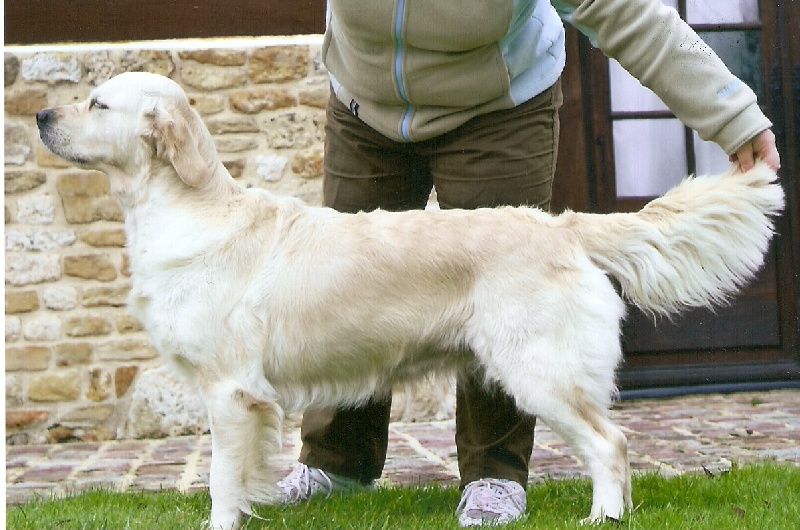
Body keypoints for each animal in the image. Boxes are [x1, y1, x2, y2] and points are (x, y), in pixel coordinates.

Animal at [37, 73, 780, 528]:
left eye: (98, 104)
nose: (41, 114)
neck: (186, 209)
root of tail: (561, 224)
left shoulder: (229, 389)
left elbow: (221, 480)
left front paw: (222, 520)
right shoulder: (245, 398)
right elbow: (244, 475)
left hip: (540, 370)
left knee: (611, 443)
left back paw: (601, 516)